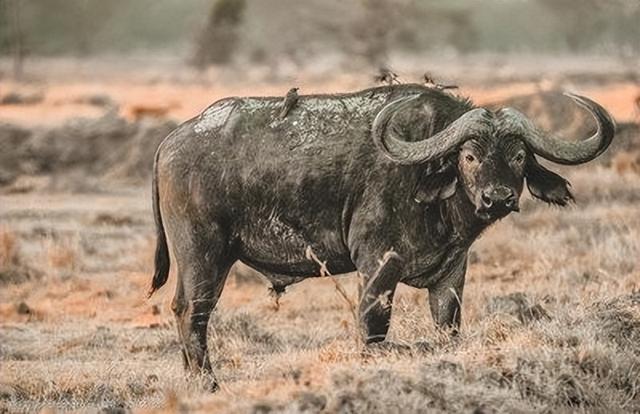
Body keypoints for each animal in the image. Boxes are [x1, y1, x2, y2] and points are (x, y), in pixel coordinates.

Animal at [148, 83, 612, 388]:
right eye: (469, 155)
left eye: (518, 156)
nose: (497, 198)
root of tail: (172, 140)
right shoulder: (377, 264)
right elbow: (374, 329)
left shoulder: (451, 272)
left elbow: (449, 328)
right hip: (205, 255)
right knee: (192, 313)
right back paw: (208, 384)